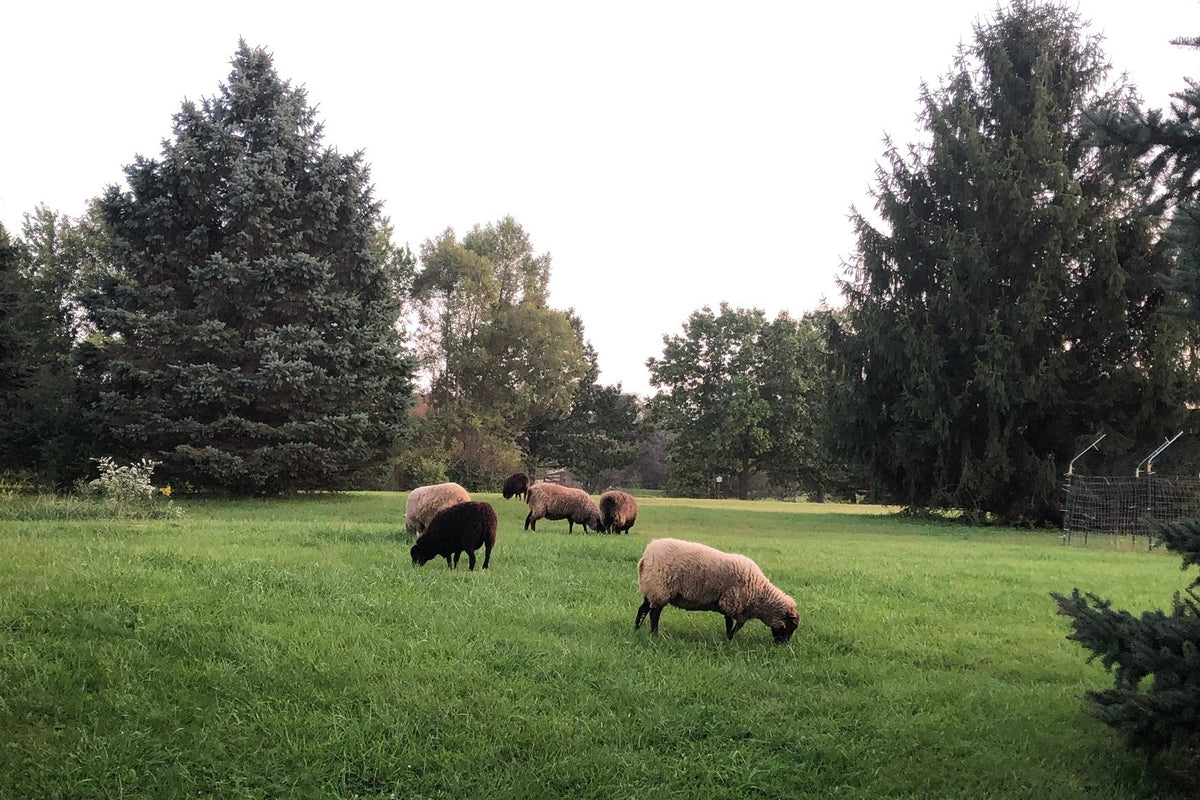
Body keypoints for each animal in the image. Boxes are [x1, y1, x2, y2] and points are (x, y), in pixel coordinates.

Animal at [634, 537, 800, 643]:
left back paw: (636, 629)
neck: (761, 596)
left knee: (643, 609)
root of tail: (645, 558)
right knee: (654, 614)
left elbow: (738, 625)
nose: (782, 646)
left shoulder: (741, 611)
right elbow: (730, 623)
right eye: (790, 627)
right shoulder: (731, 602)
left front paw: (730, 638)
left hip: (651, 589)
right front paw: (729, 639)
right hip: (659, 588)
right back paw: (655, 634)